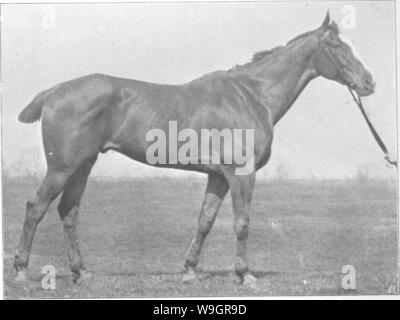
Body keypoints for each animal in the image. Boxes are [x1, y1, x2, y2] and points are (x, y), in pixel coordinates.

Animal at [13, 12, 376, 284]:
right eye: (335, 44)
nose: (369, 82)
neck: (251, 95)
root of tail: (55, 91)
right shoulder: (241, 174)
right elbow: (242, 222)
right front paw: (244, 275)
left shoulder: (218, 176)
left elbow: (205, 221)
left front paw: (189, 271)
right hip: (61, 168)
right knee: (35, 207)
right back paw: (21, 271)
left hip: (83, 165)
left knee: (68, 212)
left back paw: (81, 271)